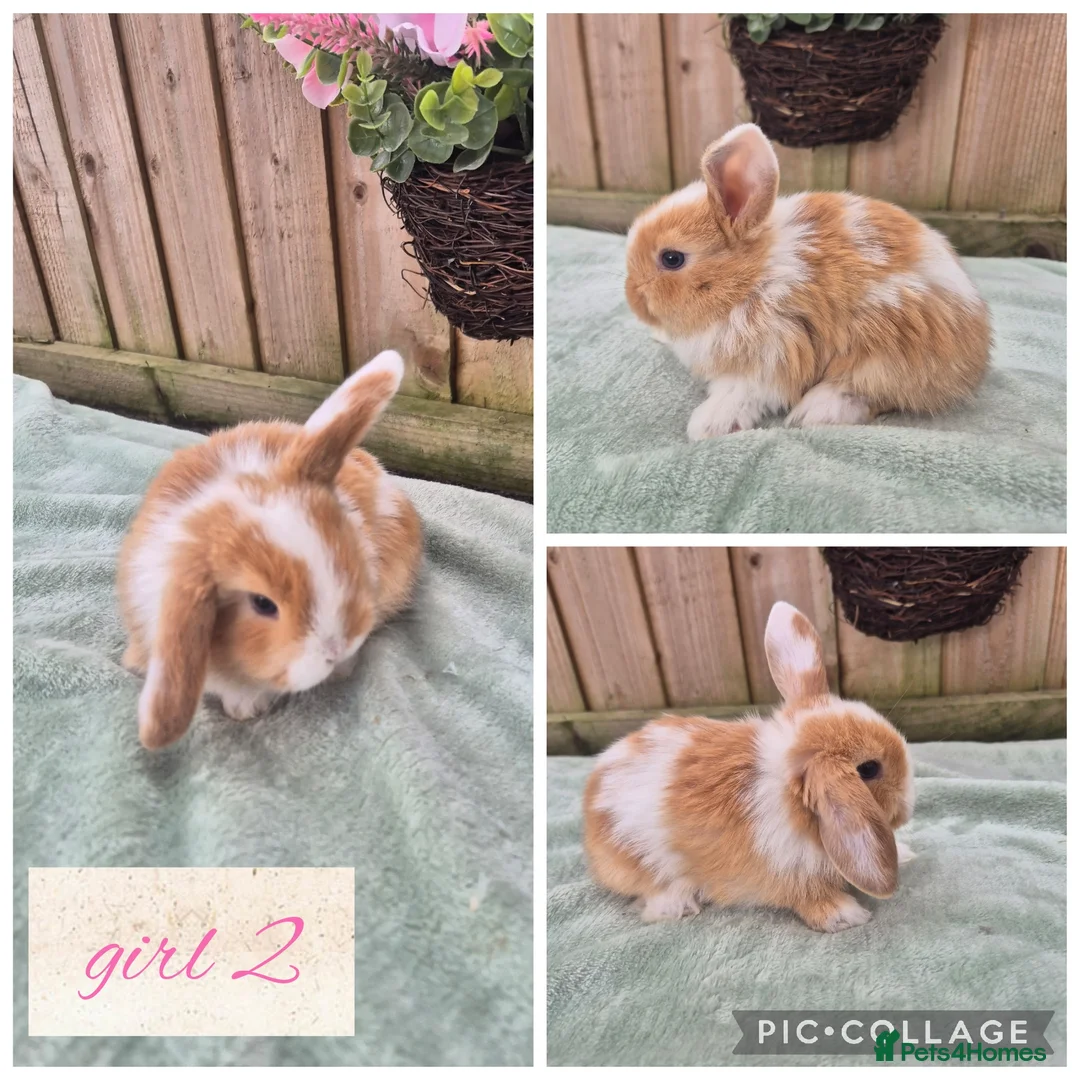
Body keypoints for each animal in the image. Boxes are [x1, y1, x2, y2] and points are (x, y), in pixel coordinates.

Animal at [583, 600, 916, 932]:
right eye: (869, 769)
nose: (907, 806)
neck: (791, 794)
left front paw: (904, 854)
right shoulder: (787, 873)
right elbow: (809, 896)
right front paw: (845, 915)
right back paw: (677, 904)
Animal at [624, 122, 991, 440]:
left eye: (672, 259)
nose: (632, 299)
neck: (752, 280)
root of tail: (977, 355)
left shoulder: (773, 354)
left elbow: (741, 393)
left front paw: (708, 425)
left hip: (886, 352)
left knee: (871, 393)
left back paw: (816, 411)